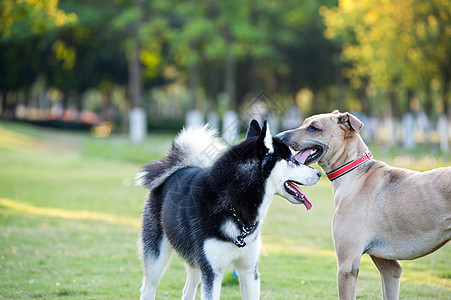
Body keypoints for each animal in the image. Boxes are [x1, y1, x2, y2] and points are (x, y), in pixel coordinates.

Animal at [276, 110, 451, 300]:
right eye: (304, 123)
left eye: (314, 128)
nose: (278, 137)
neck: (354, 173)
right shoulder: (389, 267)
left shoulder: (347, 267)